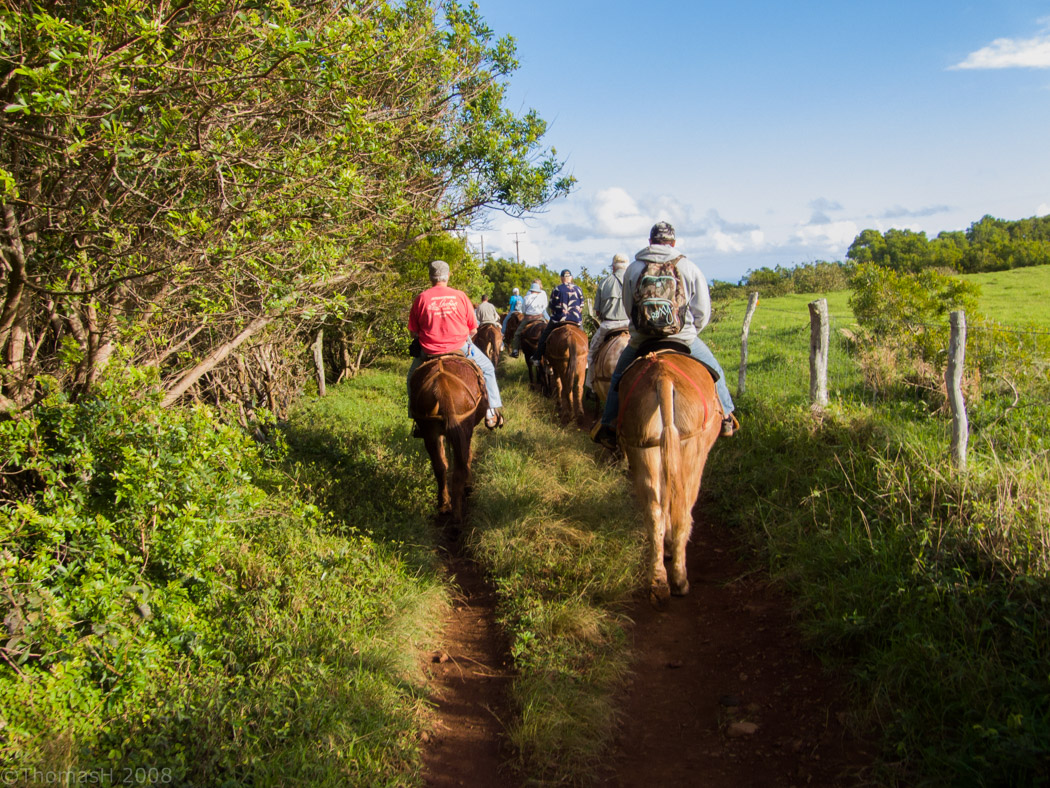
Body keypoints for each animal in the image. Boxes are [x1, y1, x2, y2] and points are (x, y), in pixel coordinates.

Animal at [411, 355, 489, 521]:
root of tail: (443, 385)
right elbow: (468, 456)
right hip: (463, 425)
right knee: (460, 466)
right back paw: (458, 513)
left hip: (429, 431)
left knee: (440, 466)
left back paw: (445, 506)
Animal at [613, 346, 722, 609]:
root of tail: (663, 378)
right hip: (690, 448)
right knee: (683, 510)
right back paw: (679, 580)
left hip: (642, 446)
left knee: (654, 512)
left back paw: (658, 583)